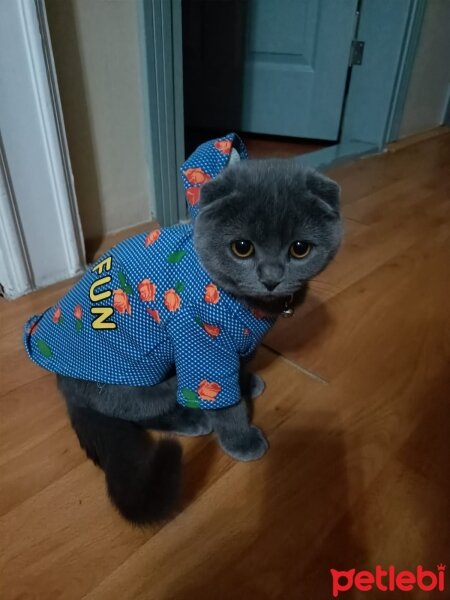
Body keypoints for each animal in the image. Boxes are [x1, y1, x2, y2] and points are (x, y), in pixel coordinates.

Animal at [24, 138, 342, 524]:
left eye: (300, 248)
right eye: (242, 248)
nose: (270, 278)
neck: (250, 308)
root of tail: (64, 385)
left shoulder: (236, 342)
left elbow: (237, 371)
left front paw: (247, 381)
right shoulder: (202, 343)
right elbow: (224, 402)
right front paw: (241, 439)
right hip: (132, 367)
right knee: (132, 406)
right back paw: (191, 417)